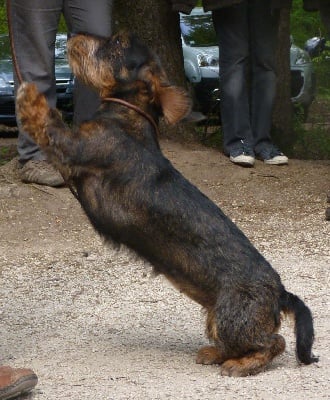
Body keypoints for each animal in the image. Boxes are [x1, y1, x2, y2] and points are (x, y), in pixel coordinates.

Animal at [15, 30, 318, 376]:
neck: (127, 118)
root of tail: (280, 292)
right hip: (217, 317)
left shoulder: (70, 145)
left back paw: (240, 365)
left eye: (118, 43)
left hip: (232, 316)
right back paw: (216, 353)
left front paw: (30, 93)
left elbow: (47, 121)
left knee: (274, 343)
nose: (74, 35)